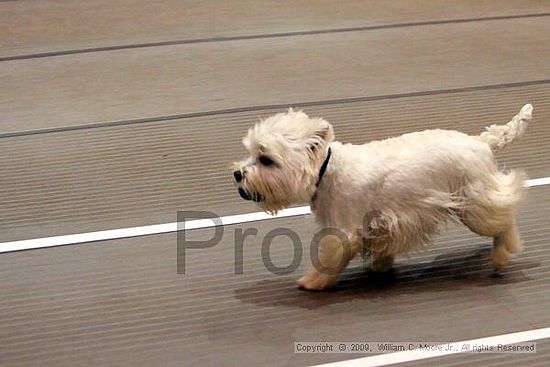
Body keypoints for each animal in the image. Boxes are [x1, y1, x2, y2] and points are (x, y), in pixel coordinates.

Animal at [232, 103, 536, 290]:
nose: (237, 174)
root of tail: (481, 142)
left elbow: (328, 257)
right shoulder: (381, 225)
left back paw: (502, 254)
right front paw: (380, 265)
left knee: (504, 220)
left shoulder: (343, 230)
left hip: (474, 203)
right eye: (250, 153)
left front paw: (313, 281)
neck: (326, 171)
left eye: (266, 159)